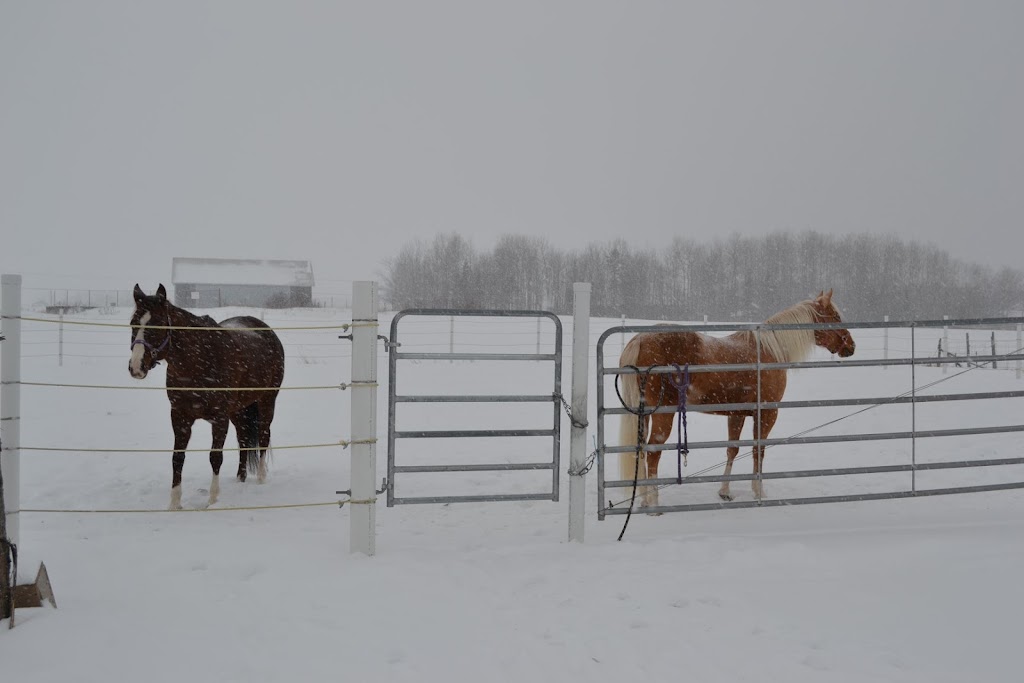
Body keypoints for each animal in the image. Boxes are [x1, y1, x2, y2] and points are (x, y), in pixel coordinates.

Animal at [130, 282, 288, 507]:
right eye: (133, 324)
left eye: (157, 325)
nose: (136, 367)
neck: (199, 359)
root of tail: (268, 332)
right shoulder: (180, 416)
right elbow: (177, 458)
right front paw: (174, 503)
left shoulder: (219, 418)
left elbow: (215, 457)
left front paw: (213, 500)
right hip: (238, 411)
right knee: (243, 440)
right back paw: (240, 478)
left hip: (267, 402)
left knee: (264, 436)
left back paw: (260, 479)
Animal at [618, 288, 851, 507]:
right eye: (835, 316)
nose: (851, 346)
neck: (769, 350)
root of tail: (640, 339)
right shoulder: (767, 413)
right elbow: (758, 450)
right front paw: (759, 491)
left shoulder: (736, 414)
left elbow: (732, 450)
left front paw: (725, 491)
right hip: (663, 415)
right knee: (652, 452)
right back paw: (654, 503)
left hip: (645, 415)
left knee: (641, 450)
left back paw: (644, 499)